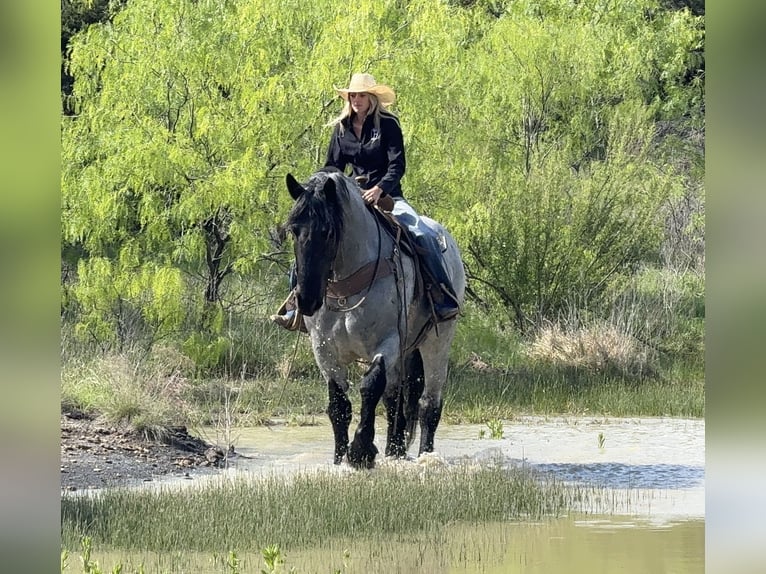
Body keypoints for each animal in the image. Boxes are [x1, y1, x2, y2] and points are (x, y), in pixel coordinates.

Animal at [283, 167, 466, 468]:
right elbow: (339, 405)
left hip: (437, 343)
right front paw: (339, 458)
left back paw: (425, 455)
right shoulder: (324, 351)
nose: (306, 300)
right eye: (293, 230)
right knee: (395, 399)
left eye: (327, 231)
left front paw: (361, 451)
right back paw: (395, 450)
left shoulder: (387, 343)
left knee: (429, 404)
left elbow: (370, 388)